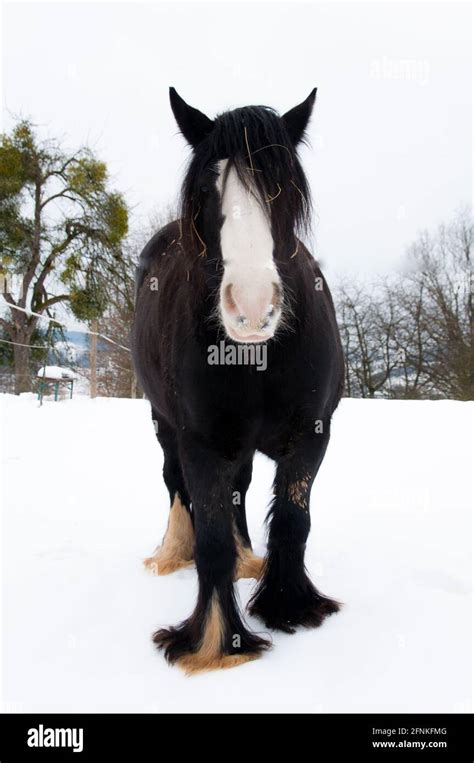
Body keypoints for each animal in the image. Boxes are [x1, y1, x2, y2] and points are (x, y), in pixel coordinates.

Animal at [132, 88, 344, 676]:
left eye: (283, 186)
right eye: (207, 187)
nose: (251, 307)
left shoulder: (313, 435)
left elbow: (292, 521)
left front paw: (289, 606)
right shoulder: (200, 442)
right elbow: (210, 542)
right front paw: (215, 641)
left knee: (240, 491)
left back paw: (251, 560)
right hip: (164, 425)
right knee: (176, 485)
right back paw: (172, 553)